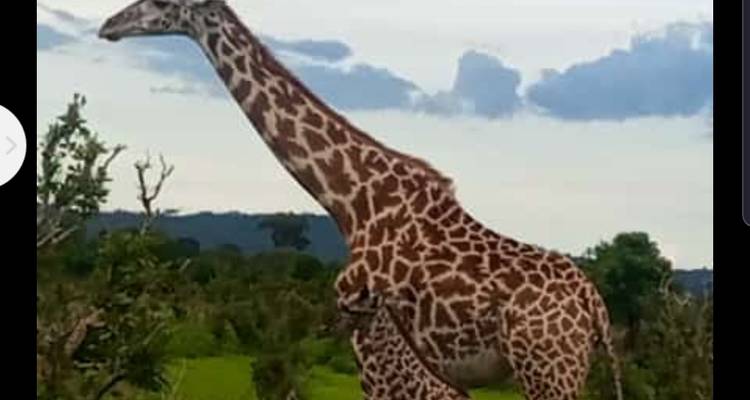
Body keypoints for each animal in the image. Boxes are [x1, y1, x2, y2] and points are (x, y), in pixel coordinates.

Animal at [99, 1, 623, 399]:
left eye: (160, 1)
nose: (108, 26)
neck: (352, 200)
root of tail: (595, 307)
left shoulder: (369, 339)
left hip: (546, 368)